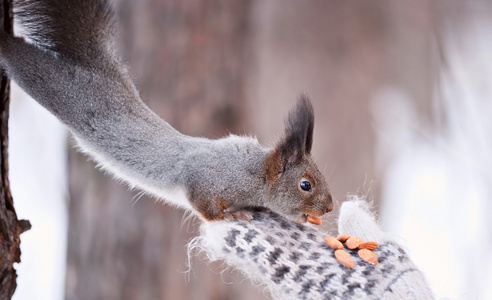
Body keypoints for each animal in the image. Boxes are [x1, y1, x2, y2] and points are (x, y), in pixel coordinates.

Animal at [0, 0, 332, 223]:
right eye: (306, 185)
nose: (329, 207)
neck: (257, 173)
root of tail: (98, 69)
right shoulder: (204, 178)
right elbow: (201, 202)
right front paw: (225, 217)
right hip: (52, 85)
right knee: (20, 57)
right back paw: (7, 41)